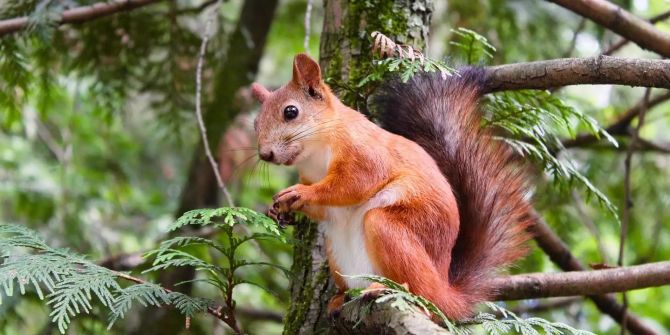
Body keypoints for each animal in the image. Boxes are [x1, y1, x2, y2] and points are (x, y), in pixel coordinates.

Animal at [252, 53, 536, 320]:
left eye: (291, 112)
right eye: (255, 123)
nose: (265, 154)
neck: (316, 153)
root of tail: (445, 292)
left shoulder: (365, 153)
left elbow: (352, 184)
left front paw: (301, 193)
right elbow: (325, 208)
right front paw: (279, 209)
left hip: (391, 230)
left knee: (419, 291)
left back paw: (388, 289)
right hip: (337, 251)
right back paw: (340, 298)